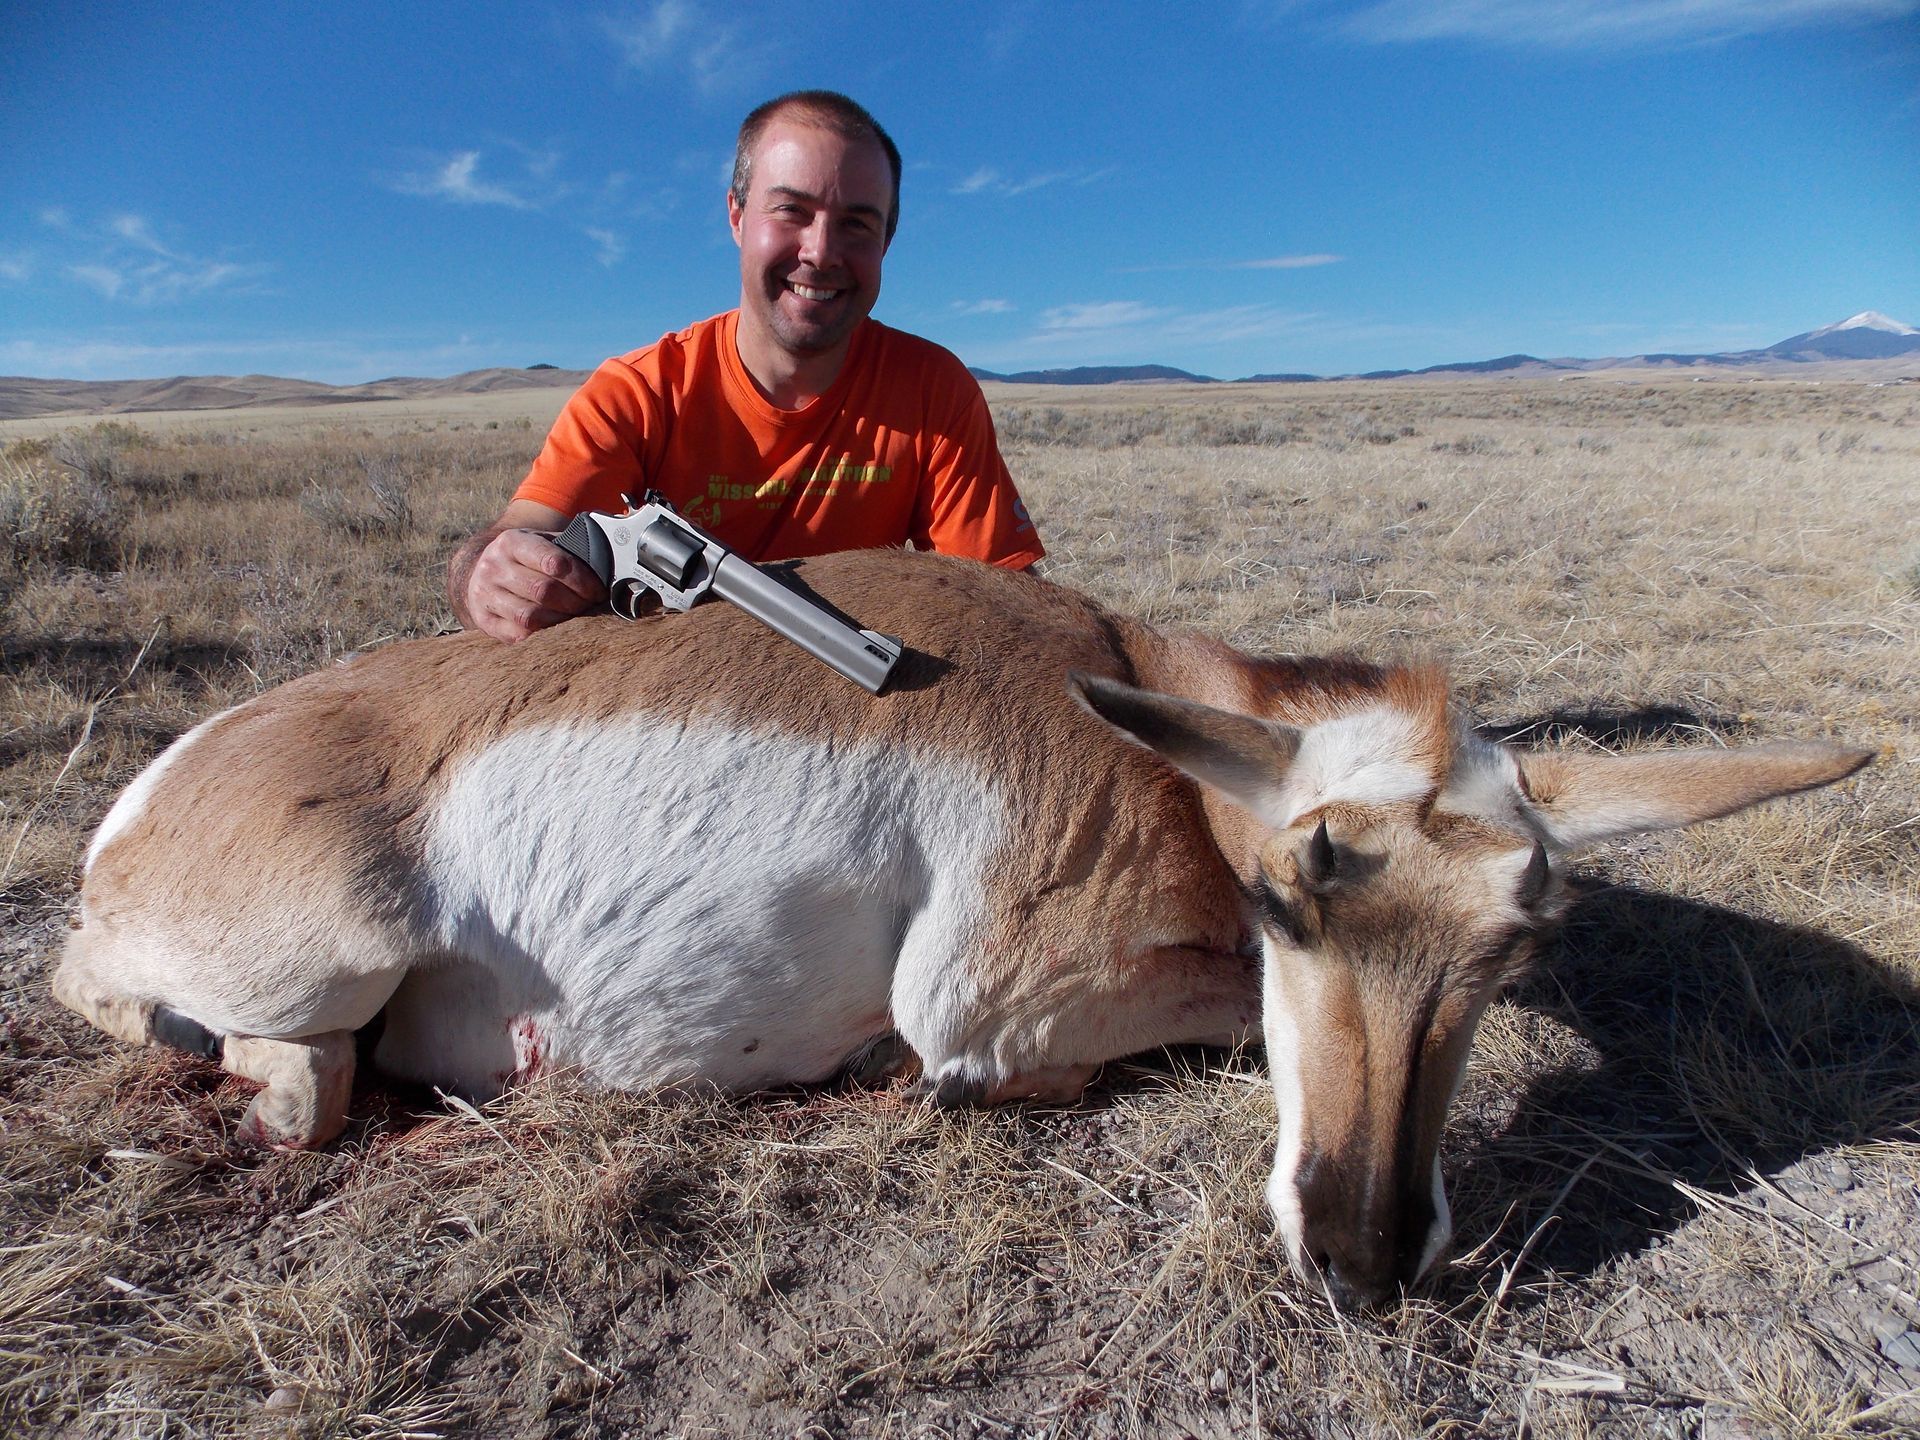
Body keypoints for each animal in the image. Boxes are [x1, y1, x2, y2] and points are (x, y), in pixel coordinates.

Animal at [53, 549, 1870, 1309]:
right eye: (1291, 896)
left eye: (1511, 952)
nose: (1362, 1261)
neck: (1117, 692)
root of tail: (157, 792)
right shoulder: (998, 1005)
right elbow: (1111, 1032)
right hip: (334, 954)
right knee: (274, 1072)